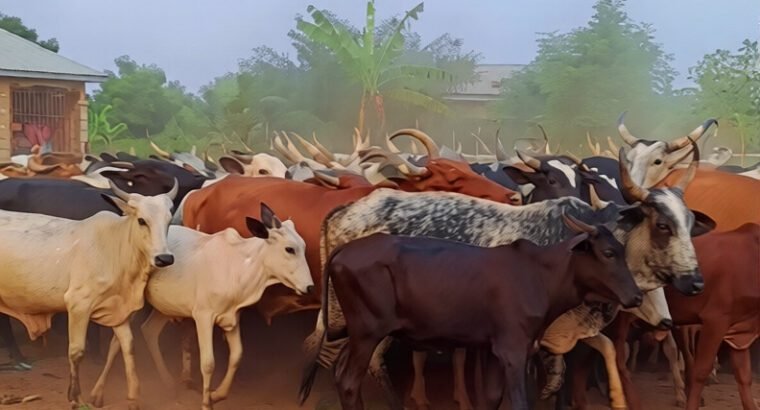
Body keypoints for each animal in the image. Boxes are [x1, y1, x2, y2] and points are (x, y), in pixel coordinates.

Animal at [0, 180, 177, 409]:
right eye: (141, 221)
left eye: (169, 221)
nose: (164, 258)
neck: (116, 247)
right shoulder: (78, 305)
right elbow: (77, 352)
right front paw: (75, 397)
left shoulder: (118, 310)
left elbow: (128, 347)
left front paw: (133, 398)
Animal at [88, 203, 313, 410]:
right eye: (289, 249)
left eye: (303, 247)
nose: (310, 287)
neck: (239, 266)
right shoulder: (203, 317)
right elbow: (208, 363)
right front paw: (207, 402)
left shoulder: (232, 318)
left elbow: (237, 356)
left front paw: (217, 394)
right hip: (132, 304)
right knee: (116, 343)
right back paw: (99, 393)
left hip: (166, 306)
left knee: (149, 331)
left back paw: (168, 383)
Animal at [322, 216, 643, 410]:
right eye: (608, 253)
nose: (637, 296)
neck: (540, 275)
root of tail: (344, 249)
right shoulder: (514, 351)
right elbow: (517, 402)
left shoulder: (493, 350)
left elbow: (490, 398)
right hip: (367, 333)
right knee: (349, 382)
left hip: (356, 334)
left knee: (340, 374)